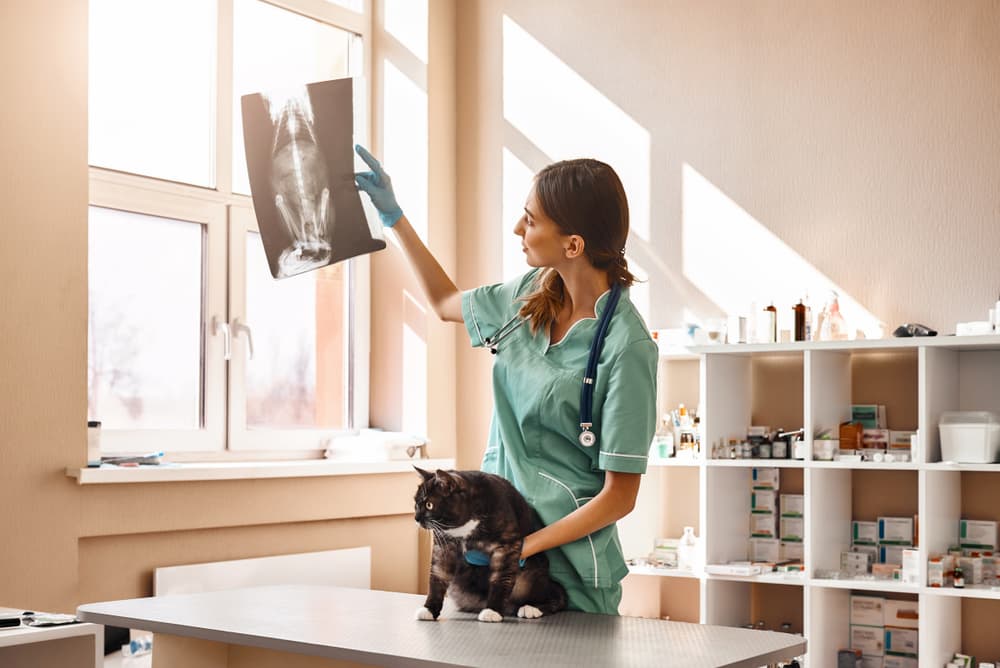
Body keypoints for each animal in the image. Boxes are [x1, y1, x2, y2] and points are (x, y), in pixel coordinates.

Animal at [410, 468, 568, 624]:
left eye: (429, 505)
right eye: (416, 504)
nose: (416, 518)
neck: (464, 527)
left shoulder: (506, 546)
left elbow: (501, 577)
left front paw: (493, 611)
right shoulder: (444, 547)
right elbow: (437, 577)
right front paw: (429, 609)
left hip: (529, 577)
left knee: (556, 594)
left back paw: (531, 608)